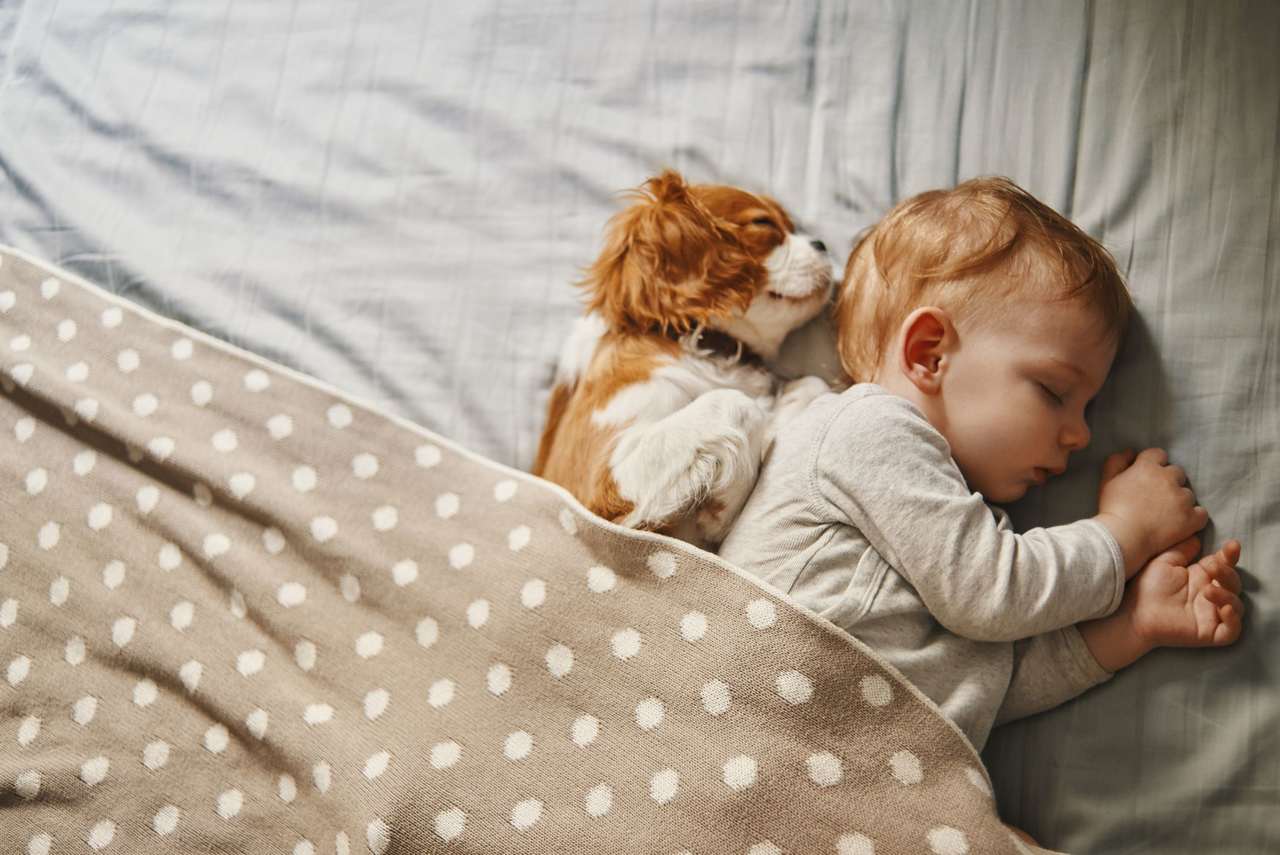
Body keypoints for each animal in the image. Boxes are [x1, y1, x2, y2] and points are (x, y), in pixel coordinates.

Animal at [529, 171, 829, 547]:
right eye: (763, 223)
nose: (822, 244)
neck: (709, 350)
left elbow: (812, 384)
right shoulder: (593, 487)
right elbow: (734, 402)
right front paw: (723, 508)